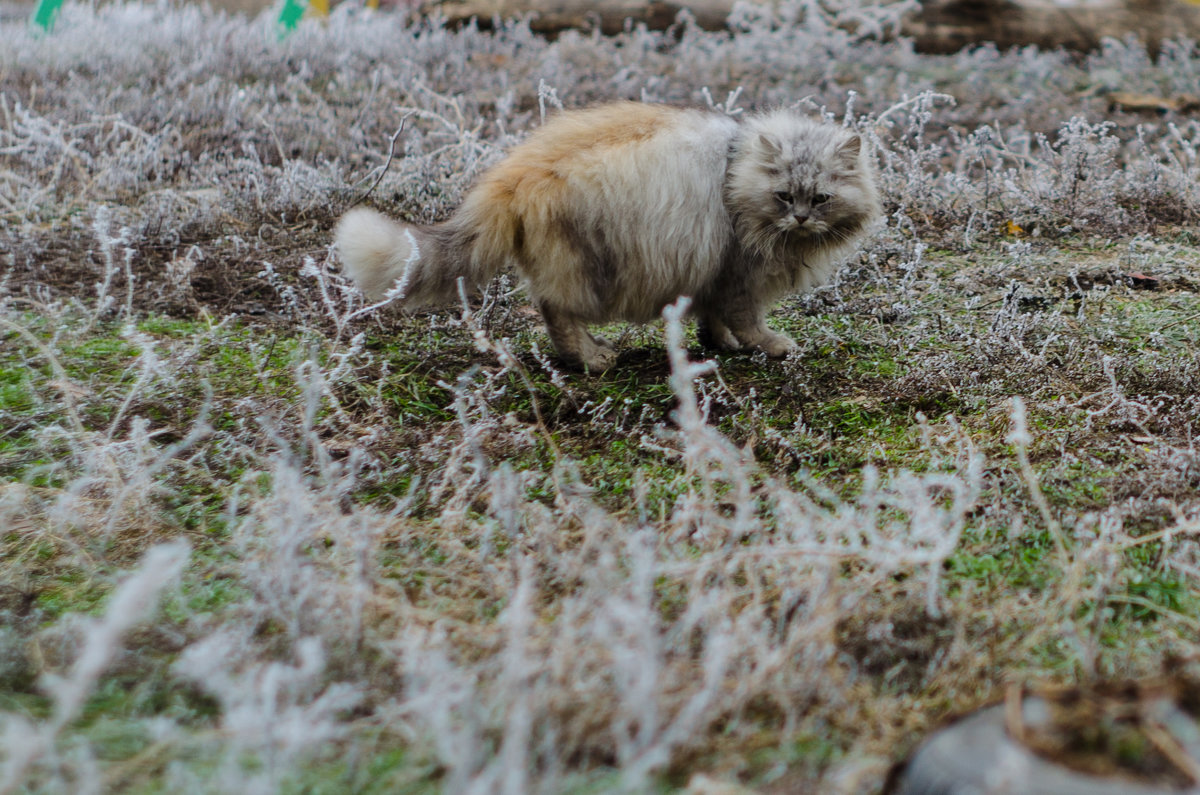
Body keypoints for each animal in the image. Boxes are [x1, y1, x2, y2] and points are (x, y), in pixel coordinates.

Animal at [336, 101, 883, 372]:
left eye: (821, 199)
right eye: (785, 197)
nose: (802, 220)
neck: (737, 169)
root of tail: (514, 172)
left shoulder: (711, 273)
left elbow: (714, 319)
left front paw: (721, 345)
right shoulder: (737, 271)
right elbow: (748, 320)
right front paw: (769, 346)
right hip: (590, 271)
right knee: (556, 313)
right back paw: (591, 358)